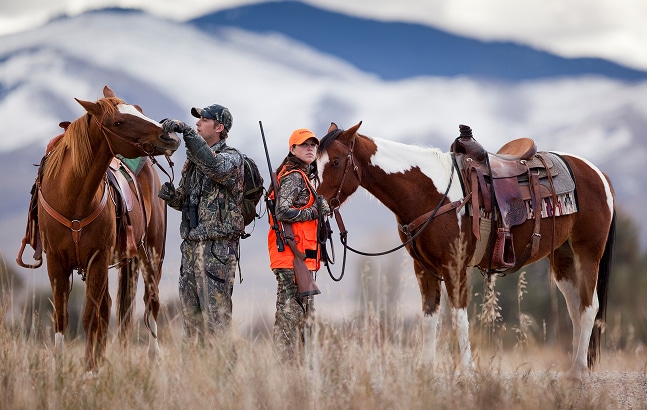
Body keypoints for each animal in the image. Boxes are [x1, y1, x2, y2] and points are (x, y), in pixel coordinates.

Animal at [23, 86, 180, 372]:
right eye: (118, 122)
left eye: (139, 110)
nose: (170, 136)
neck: (73, 198)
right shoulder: (56, 262)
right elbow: (62, 316)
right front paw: (61, 367)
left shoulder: (96, 259)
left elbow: (90, 316)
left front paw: (90, 369)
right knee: (112, 308)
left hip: (151, 254)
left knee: (150, 302)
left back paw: (152, 357)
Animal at [316, 121, 615, 379]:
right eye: (314, 163)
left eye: (335, 161)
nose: (318, 202)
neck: (429, 194)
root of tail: (598, 173)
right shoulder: (423, 270)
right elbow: (430, 318)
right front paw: (426, 369)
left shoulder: (455, 266)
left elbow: (460, 317)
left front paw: (467, 370)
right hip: (563, 257)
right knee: (575, 307)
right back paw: (575, 365)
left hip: (588, 252)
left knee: (589, 306)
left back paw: (578, 371)